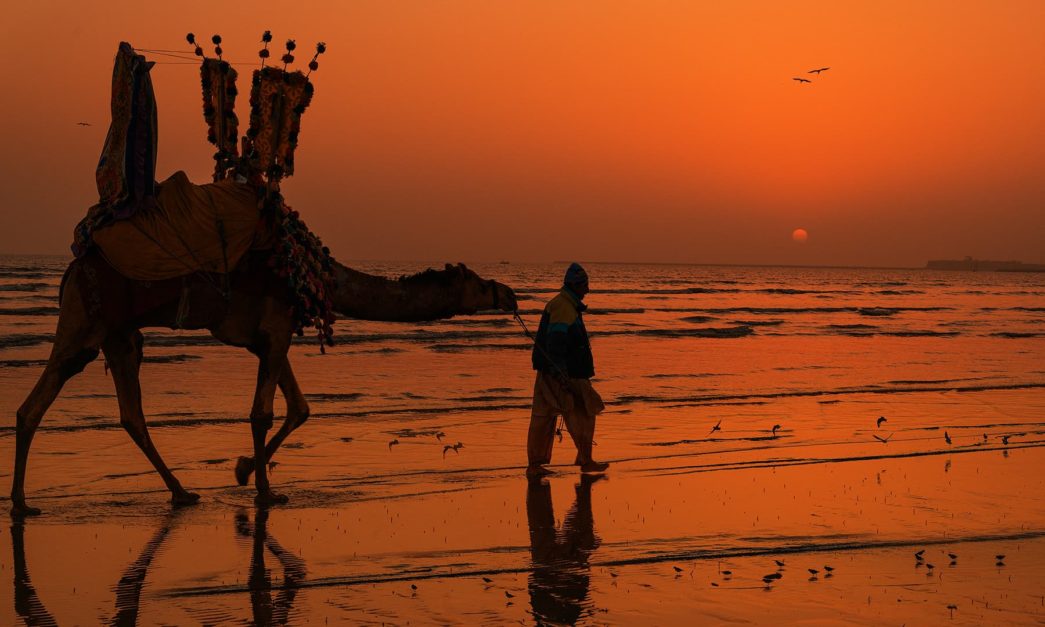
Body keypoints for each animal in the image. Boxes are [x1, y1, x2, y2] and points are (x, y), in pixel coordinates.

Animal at [8, 247, 514, 516]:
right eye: (478, 282)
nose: (509, 294)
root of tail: (71, 270)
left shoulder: (272, 338)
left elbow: (299, 408)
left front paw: (244, 470)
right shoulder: (275, 329)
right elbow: (264, 412)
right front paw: (266, 490)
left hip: (117, 334)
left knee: (128, 413)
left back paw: (180, 493)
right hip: (87, 323)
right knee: (41, 400)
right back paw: (21, 502)